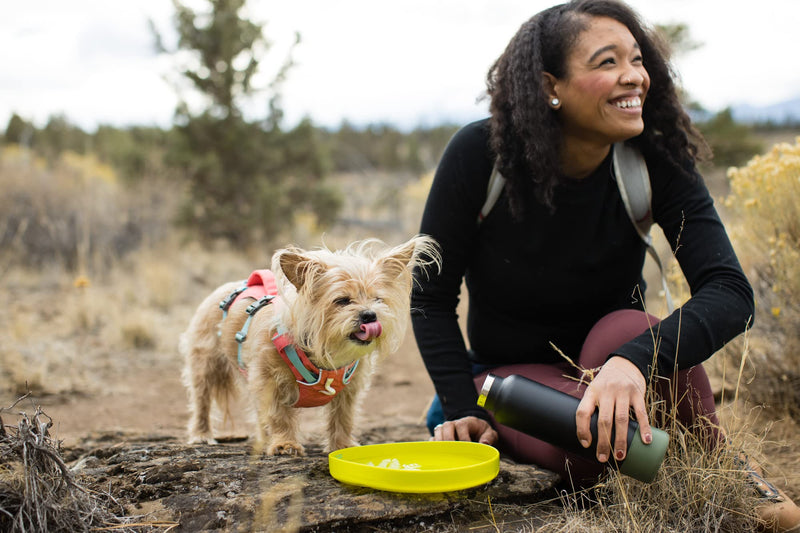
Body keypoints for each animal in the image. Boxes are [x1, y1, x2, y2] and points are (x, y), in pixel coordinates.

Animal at [181, 235, 440, 456]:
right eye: (342, 301)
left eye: (378, 299)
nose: (370, 315)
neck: (325, 350)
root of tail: (227, 287)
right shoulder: (268, 381)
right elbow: (278, 414)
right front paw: (284, 444)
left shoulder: (349, 388)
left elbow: (343, 416)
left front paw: (342, 445)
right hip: (206, 364)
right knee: (202, 401)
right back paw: (202, 434)